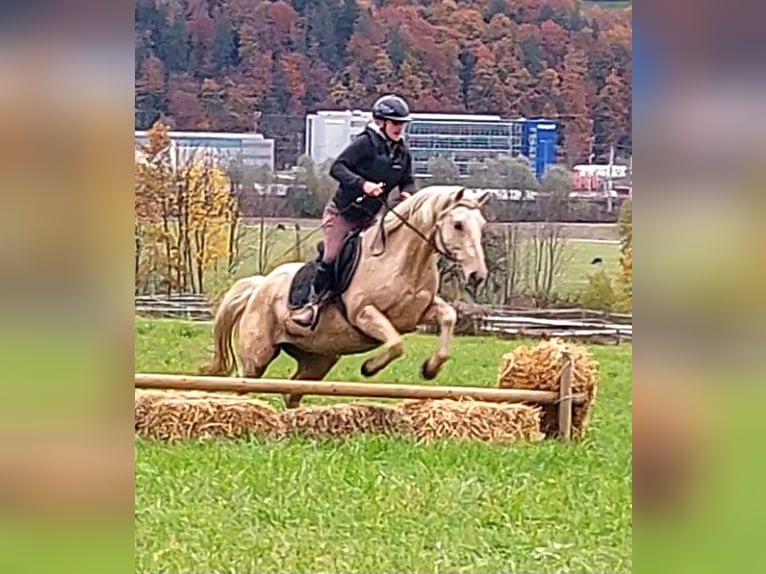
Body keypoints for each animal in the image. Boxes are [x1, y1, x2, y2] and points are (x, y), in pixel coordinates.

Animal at [200, 185, 490, 409]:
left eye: (481, 225)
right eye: (458, 225)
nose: (477, 275)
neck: (404, 260)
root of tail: (260, 285)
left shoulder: (417, 314)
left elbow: (448, 317)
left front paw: (430, 368)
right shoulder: (364, 314)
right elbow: (396, 344)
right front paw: (369, 368)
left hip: (318, 359)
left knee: (293, 391)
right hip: (257, 355)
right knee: (243, 383)